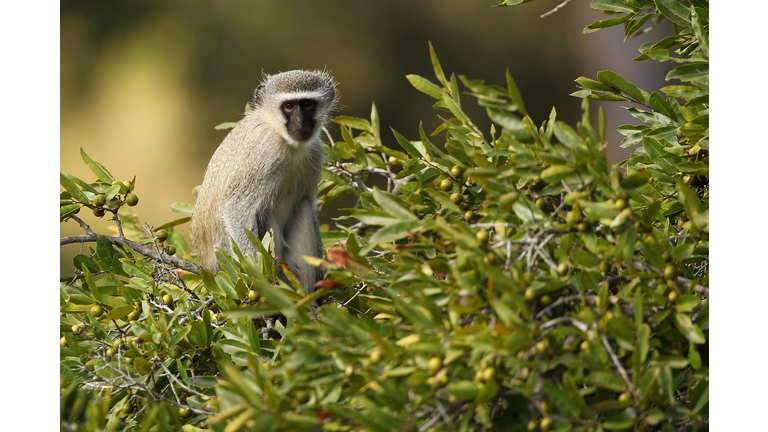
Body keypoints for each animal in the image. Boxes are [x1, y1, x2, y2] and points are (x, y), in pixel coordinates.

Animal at [190, 70, 338, 294]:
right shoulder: (265, 153)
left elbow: (309, 204)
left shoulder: (315, 153)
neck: (286, 142)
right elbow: (236, 210)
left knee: (303, 207)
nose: (300, 122)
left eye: (307, 104)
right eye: (289, 106)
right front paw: (260, 277)